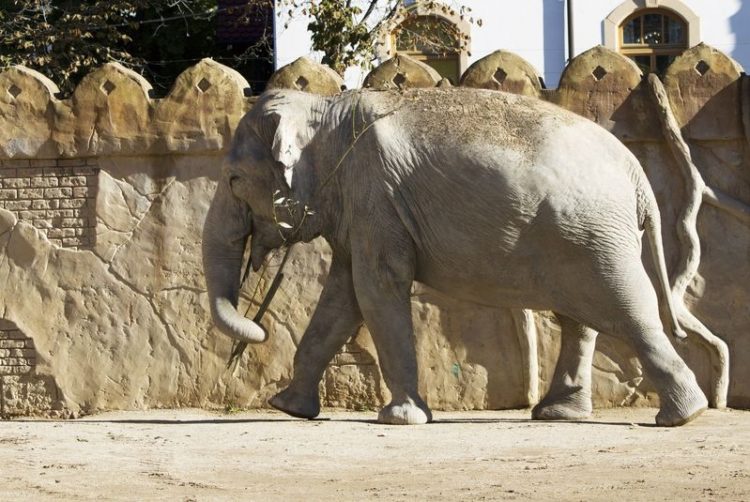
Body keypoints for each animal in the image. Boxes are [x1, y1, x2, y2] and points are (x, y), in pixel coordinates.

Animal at [204, 87, 712, 428]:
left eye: (233, 179)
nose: (259, 330)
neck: (326, 110)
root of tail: (637, 172)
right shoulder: (360, 206)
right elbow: (343, 295)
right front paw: (287, 407)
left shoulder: (375, 194)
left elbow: (376, 287)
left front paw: (400, 419)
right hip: (582, 237)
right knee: (579, 318)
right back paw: (558, 414)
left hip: (594, 235)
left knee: (627, 310)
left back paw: (683, 416)